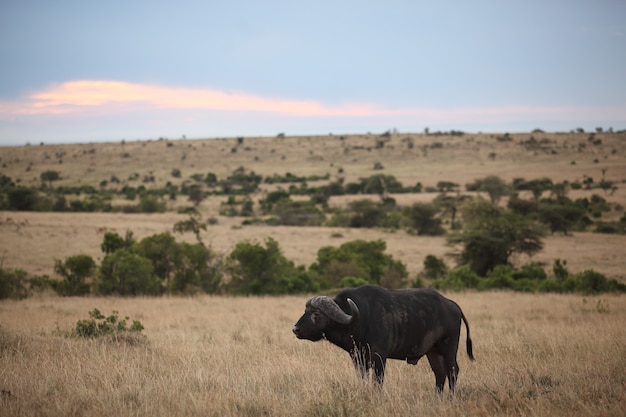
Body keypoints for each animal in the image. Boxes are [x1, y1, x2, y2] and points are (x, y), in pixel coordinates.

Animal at [292, 284, 472, 388]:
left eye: (316, 313)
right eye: (305, 311)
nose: (296, 329)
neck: (361, 318)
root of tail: (452, 305)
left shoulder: (379, 357)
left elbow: (377, 381)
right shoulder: (358, 359)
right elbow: (364, 380)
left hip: (449, 348)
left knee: (453, 372)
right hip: (433, 352)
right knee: (440, 374)